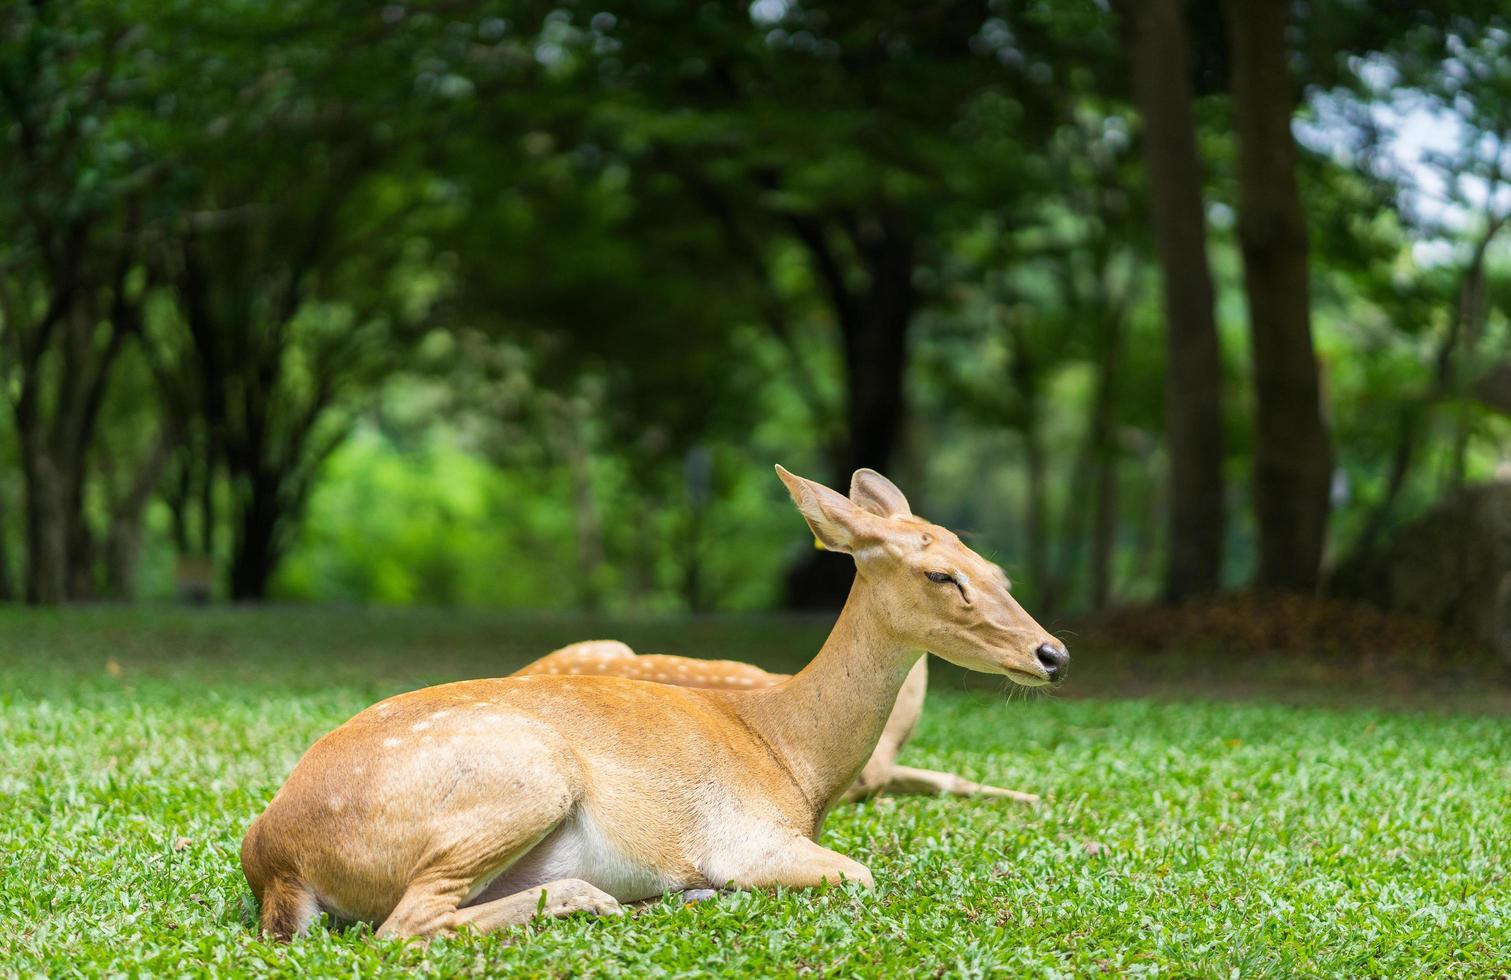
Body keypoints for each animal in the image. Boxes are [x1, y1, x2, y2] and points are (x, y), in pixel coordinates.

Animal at [238, 465, 1063, 942]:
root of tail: (275, 861)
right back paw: (605, 899)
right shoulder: (747, 837)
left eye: (995, 568)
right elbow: (857, 876)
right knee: (401, 929)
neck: (793, 756)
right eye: (940, 575)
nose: (1051, 654)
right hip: (526, 773)